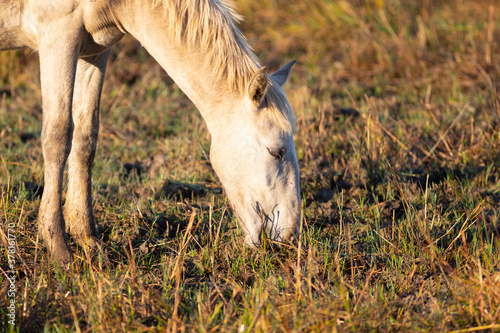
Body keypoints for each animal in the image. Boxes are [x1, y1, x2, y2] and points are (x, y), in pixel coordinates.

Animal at [0, 0, 300, 262]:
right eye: (276, 151)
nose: (288, 236)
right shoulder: (58, 33)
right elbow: (58, 136)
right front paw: (57, 246)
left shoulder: (94, 51)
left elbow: (85, 138)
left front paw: (87, 238)